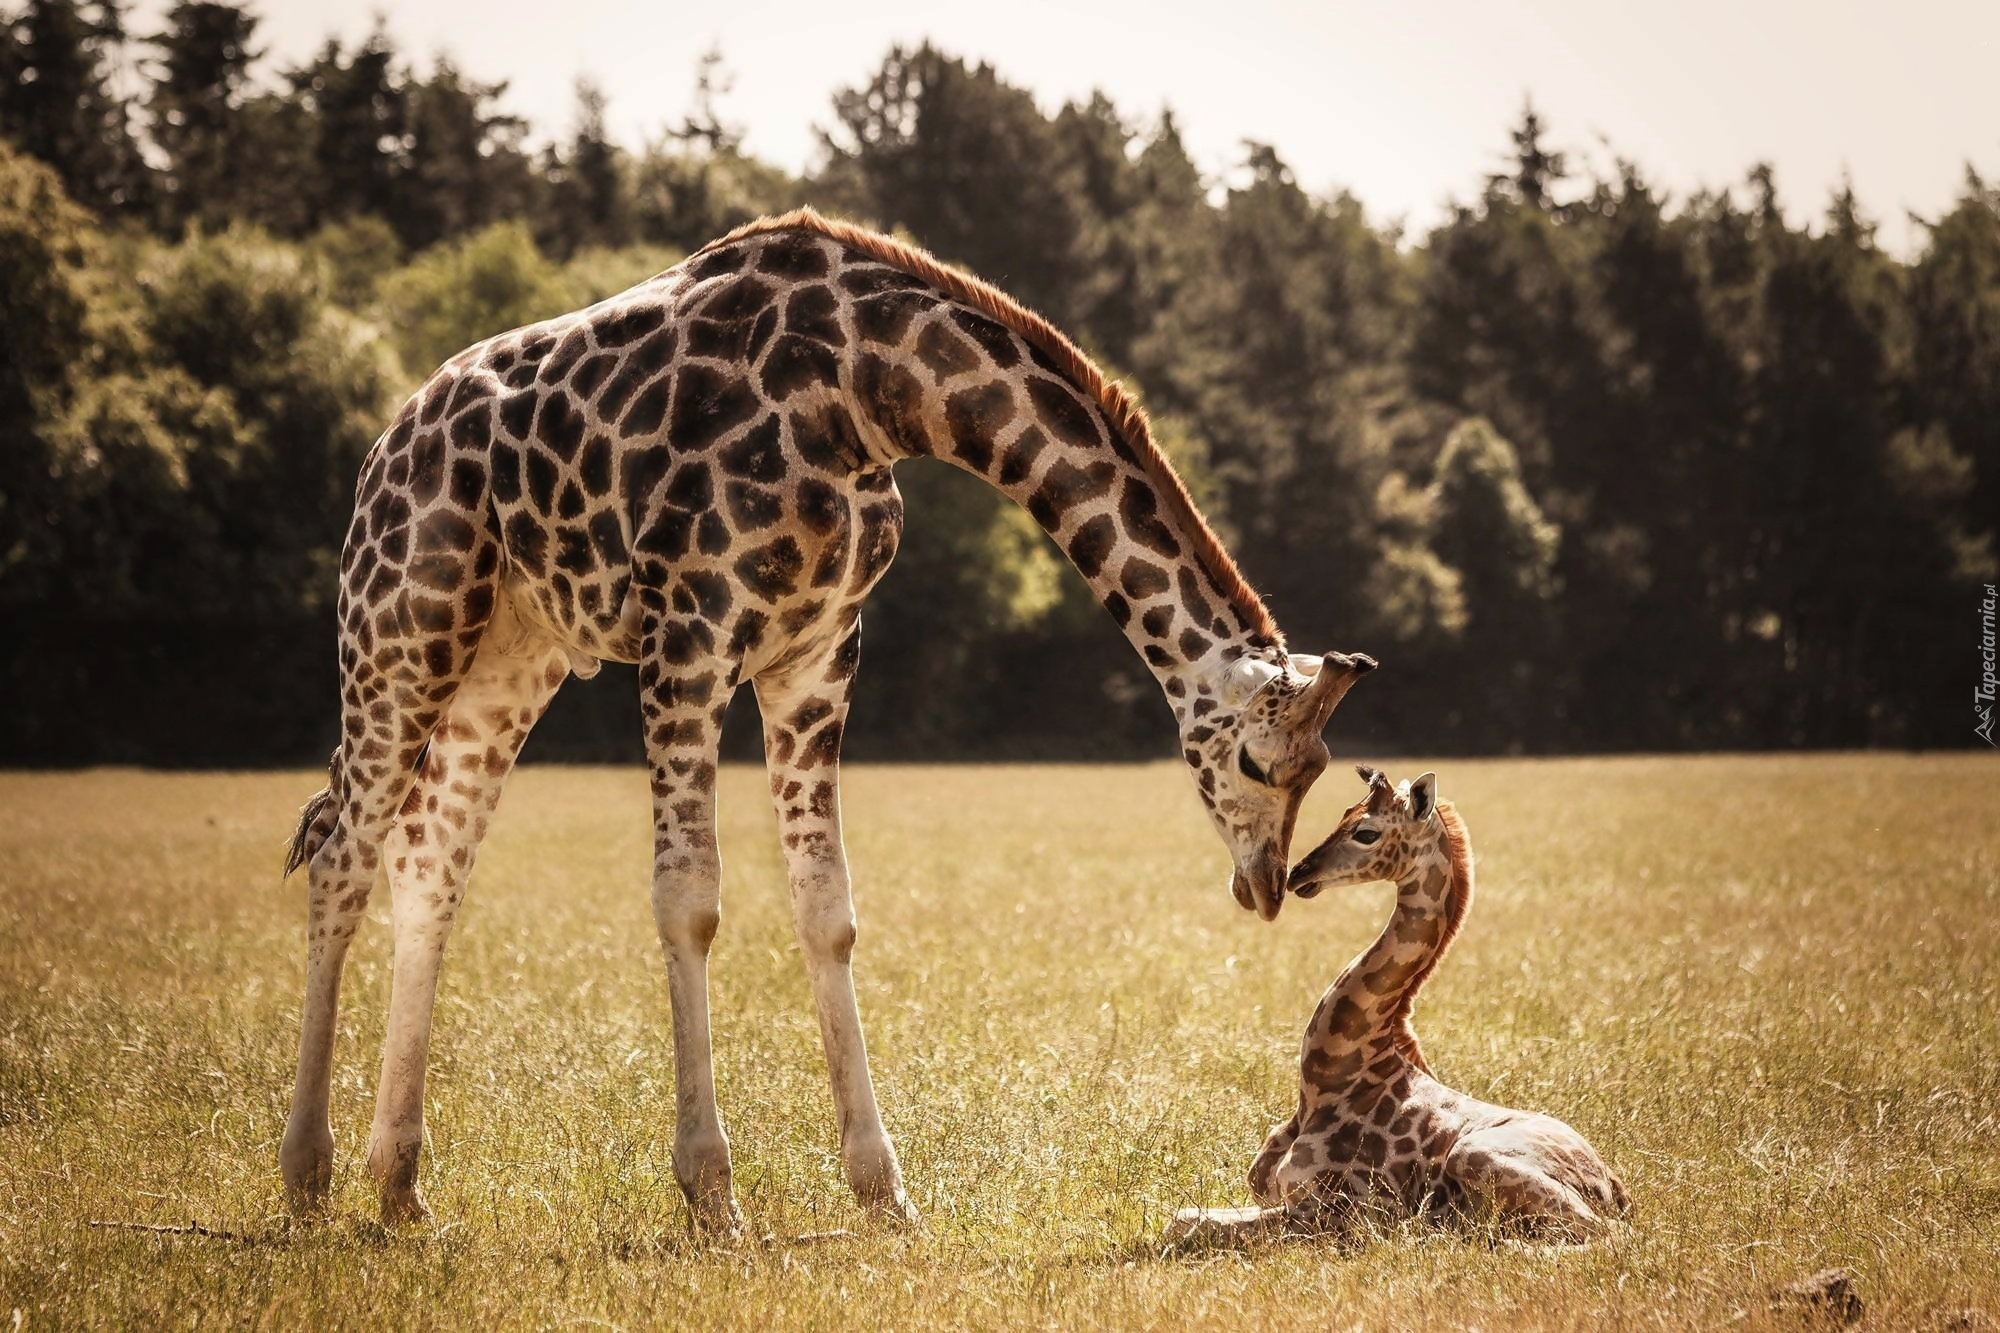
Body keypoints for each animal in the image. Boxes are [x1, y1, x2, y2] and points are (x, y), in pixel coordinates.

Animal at [282, 205, 1376, 1224]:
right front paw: (711, 1194)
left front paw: (881, 1189)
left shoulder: (817, 654)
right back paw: (305, 1175)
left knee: (428, 858)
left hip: (510, 653)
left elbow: (826, 906)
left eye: (1319, 772)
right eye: (1261, 765)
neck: (867, 390)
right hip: (402, 623)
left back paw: (400, 1186)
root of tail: (384, 447)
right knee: (343, 857)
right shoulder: (689, 633)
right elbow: (688, 897)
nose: (1264, 885)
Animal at [1168, 764, 1624, 1240]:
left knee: (1608, 1236)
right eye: (1343, 813)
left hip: (1476, 1156)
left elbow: (1187, 1225)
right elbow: (1185, 1218)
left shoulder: (1347, 1213)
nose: (1298, 874)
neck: (1327, 1082)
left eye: (1366, 832)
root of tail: (1613, 1185)